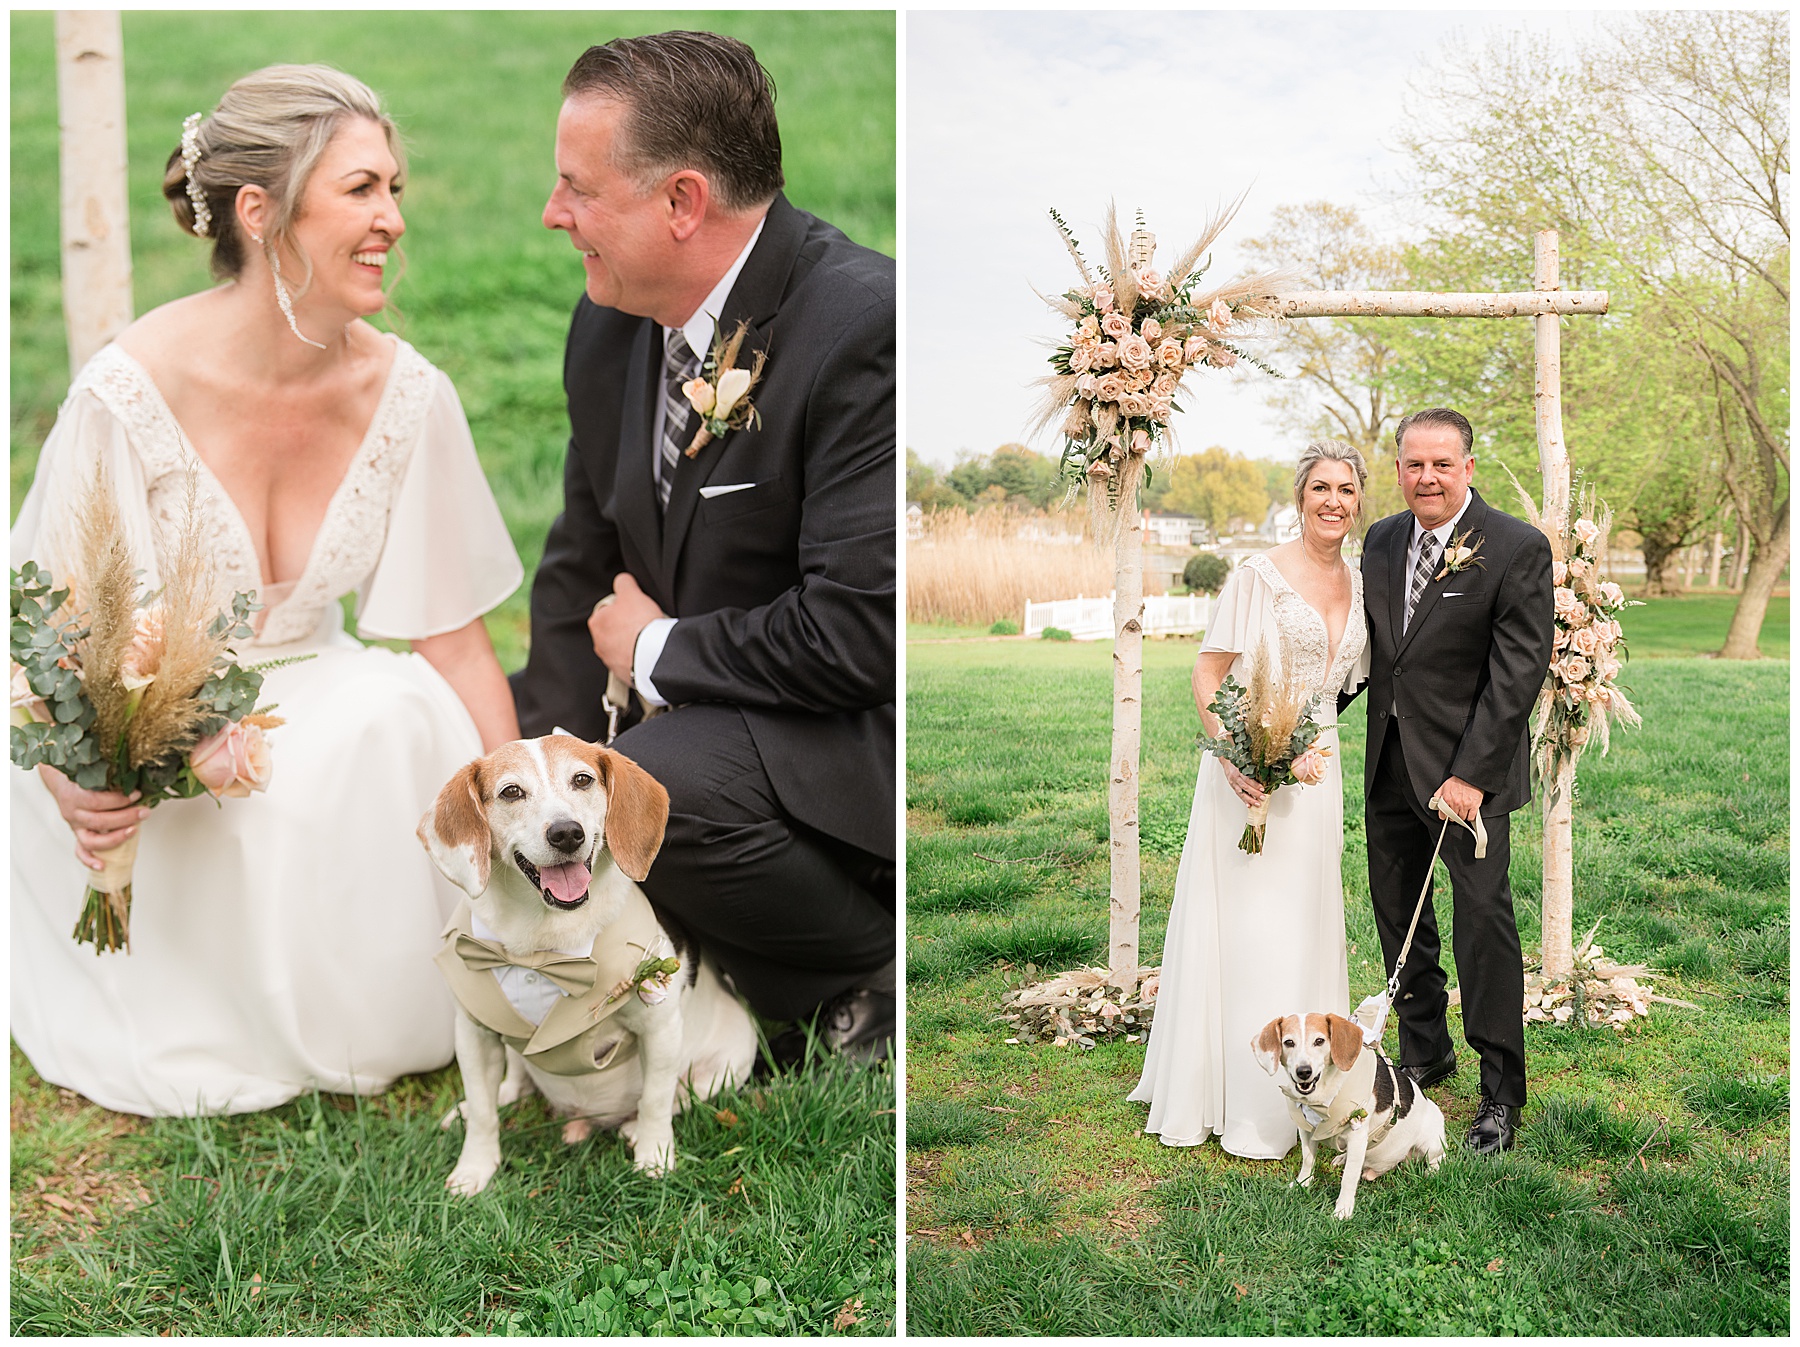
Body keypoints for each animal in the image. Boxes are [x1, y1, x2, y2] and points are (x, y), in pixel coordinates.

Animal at [419, 731, 752, 1195]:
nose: (566, 833)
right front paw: (475, 1168)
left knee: (681, 1096)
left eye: (582, 779)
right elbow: (486, 1115)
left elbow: (655, 1099)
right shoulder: (473, 1034)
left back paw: (634, 1129)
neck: (542, 941)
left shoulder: (659, 1028)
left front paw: (655, 1156)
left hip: (730, 1061)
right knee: (513, 1084)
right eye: (511, 792)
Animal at [1252, 1008, 1447, 1217]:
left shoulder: (1357, 1134)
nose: (1303, 1071)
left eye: (1319, 1041)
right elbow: (1308, 1161)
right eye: (1288, 1042)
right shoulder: (1306, 1130)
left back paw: (1432, 1171)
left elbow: (1349, 1178)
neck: (1322, 1095)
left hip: (1431, 1141)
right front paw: (1302, 1184)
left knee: (1438, 1157)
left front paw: (1343, 1210)